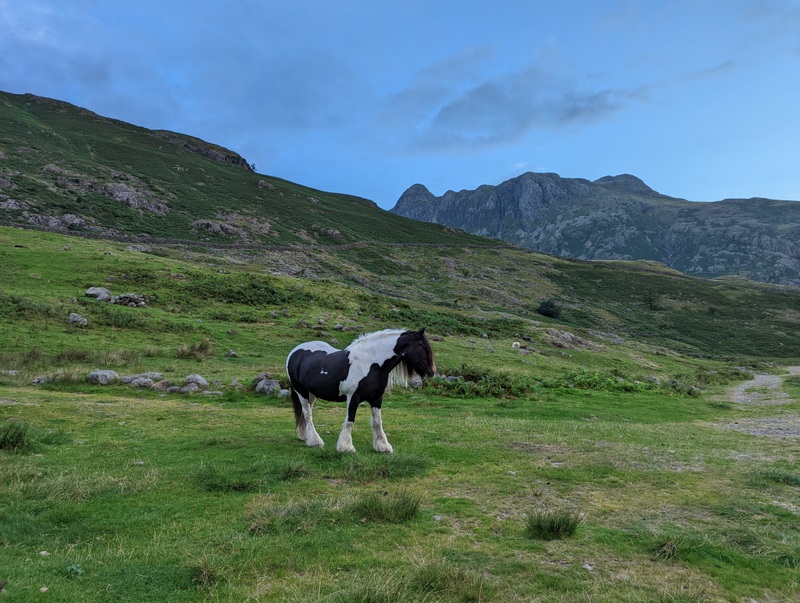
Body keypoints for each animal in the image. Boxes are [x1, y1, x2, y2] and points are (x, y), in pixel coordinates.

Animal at [285, 328, 436, 453]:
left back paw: (306, 436)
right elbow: (350, 420)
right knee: (307, 414)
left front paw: (383, 446)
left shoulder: (377, 398)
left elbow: (377, 422)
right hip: (301, 392)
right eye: (422, 346)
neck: (372, 363)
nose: (431, 372)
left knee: (306, 413)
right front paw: (346, 447)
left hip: (312, 394)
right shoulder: (353, 397)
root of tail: (294, 352)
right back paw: (315, 441)